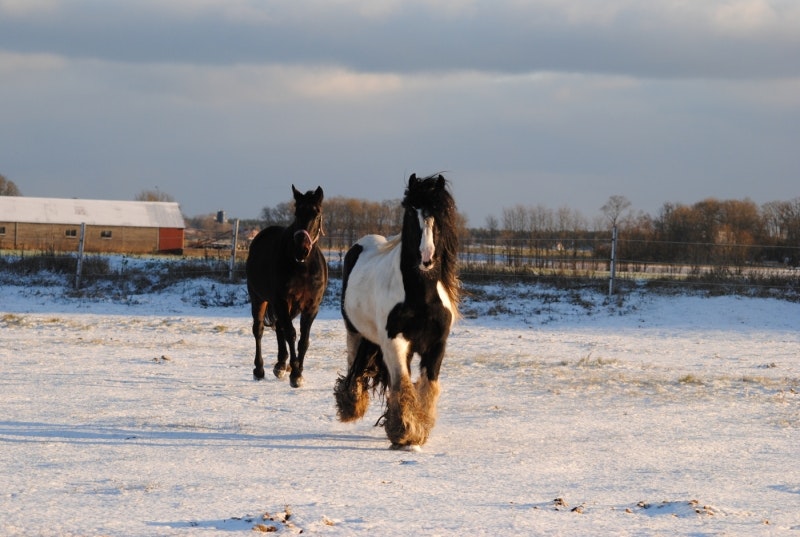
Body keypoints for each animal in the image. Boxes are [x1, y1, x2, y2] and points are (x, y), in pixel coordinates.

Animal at [247, 184, 328, 386]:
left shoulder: (311, 306)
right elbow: (291, 333)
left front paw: (297, 370)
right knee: (259, 330)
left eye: (316, 214)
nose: (301, 249)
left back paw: (282, 364)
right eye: (297, 213)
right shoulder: (282, 301)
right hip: (259, 298)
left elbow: (303, 340)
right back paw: (260, 369)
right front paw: (295, 374)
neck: (303, 267)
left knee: (279, 327)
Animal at [332, 174, 460, 446]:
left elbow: (427, 387)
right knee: (354, 368)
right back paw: (351, 404)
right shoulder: (394, 341)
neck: (421, 297)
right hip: (355, 332)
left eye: (440, 213)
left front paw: (419, 425)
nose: (426, 258)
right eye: (411, 211)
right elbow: (401, 385)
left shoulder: (437, 344)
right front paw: (405, 431)